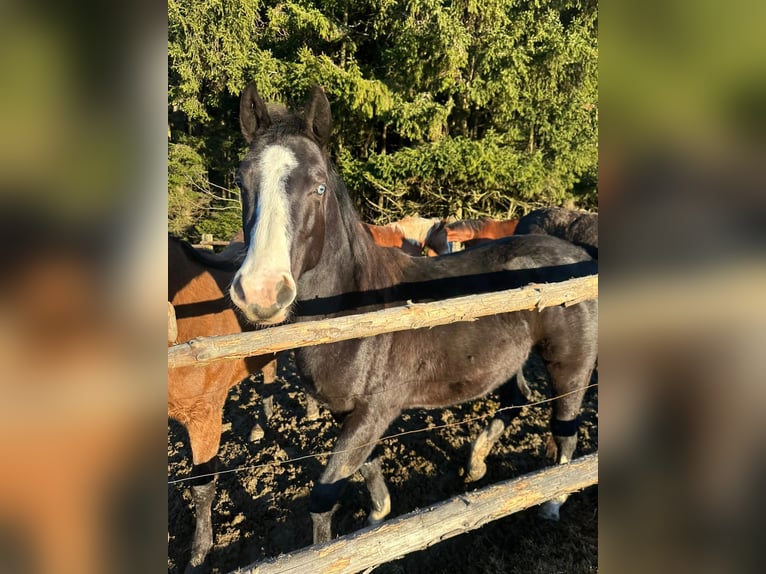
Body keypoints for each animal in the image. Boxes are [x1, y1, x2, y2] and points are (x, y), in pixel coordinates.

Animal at [229, 83, 598, 544]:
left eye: (319, 187)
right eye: (241, 181)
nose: (260, 291)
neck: (353, 317)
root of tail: (577, 253)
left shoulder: (377, 410)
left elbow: (323, 498)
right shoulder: (346, 412)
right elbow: (364, 467)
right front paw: (378, 516)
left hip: (570, 367)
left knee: (565, 427)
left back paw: (551, 501)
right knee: (516, 399)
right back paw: (476, 463)